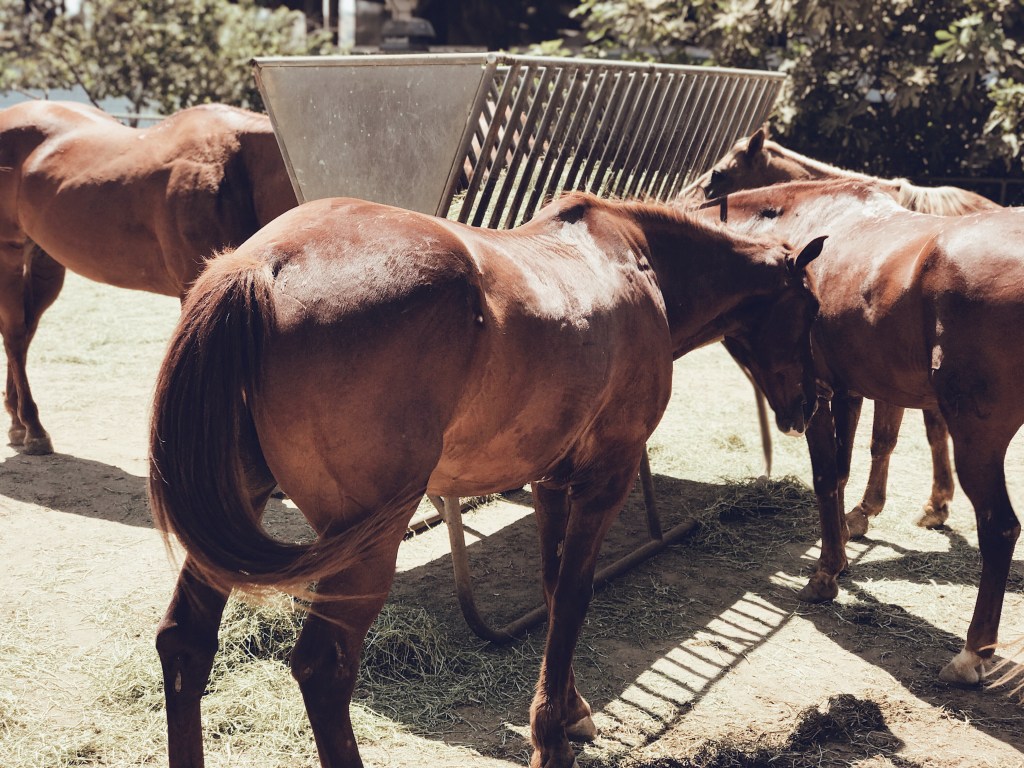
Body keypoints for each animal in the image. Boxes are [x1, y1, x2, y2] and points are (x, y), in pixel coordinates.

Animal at [0, 99, 296, 454]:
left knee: (25, 330)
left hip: (45, 260)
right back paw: (32, 427)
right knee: (15, 335)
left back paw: (17, 421)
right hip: (9, 252)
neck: (240, 167)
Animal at [148, 191, 824, 768]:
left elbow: (552, 586)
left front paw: (570, 709)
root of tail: (263, 263)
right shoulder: (606, 477)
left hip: (236, 515)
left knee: (185, 645)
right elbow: (574, 594)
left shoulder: (551, 481)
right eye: (813, 308)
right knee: (323, 669)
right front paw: (551, 739)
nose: (808, 407)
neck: (635, 262)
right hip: (365, 548)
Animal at [698, 178, 1022, 686]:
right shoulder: (847, 392)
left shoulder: (823, 394)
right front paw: (846, 547)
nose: (792, 412)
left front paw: (825, 574)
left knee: (999, 528)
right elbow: (847, 468)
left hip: (977, 441)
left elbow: (826, 477)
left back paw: (971, 654)